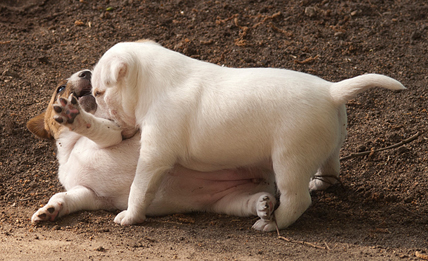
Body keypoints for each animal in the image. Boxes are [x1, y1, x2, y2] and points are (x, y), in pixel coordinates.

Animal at [26, 69, 276, 225]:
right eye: (60, 88)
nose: (87, 73)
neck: (73, 147)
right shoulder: (90, 194)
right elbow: (62, 196)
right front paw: (50, 210)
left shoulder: (115, 133)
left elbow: (94, 126)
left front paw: (76, 117)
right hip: (227, 201)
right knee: (249, 202)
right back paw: (263, 205)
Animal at [92, 40, 406, 230]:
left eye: (97, 93)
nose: (90, 104)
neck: (152, 81)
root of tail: (331, 91)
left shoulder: (154, 157)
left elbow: (139, 188)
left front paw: (129, 217)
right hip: (331, 145)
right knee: (330, 169)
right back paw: (319, 183)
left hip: (290, 160)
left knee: (297, 199)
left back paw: (270, 224)